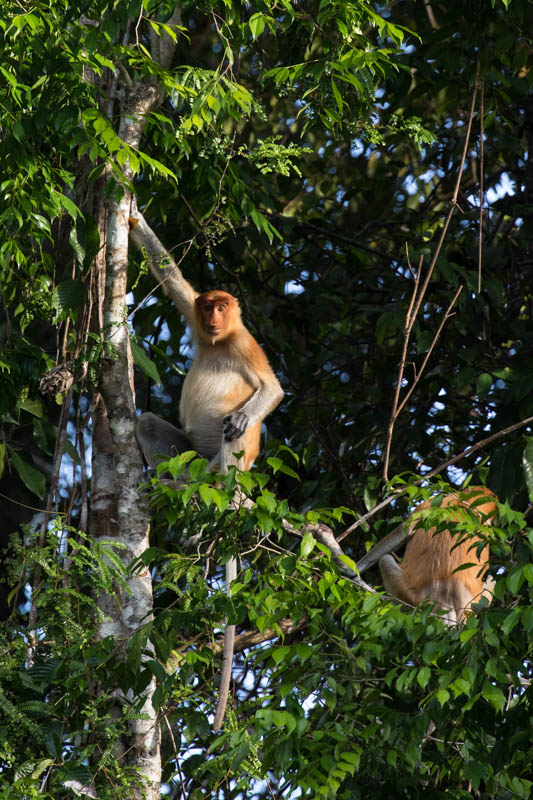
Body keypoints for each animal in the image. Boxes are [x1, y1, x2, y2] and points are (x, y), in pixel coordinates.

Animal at [129, 211, 284, 732]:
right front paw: (129, 210)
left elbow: (271, 390)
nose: (214, 317)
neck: (217, 342)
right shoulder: (196, 328)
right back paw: (164, 481)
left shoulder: (244, 344)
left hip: (229, 466)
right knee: (148, 423)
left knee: (234, 433)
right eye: (207, 306)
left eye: (223, 307)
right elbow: (171, 277)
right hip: (188, 451)